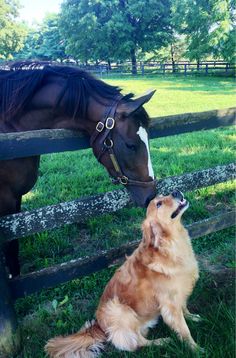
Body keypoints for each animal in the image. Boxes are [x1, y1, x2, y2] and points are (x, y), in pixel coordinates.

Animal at [45, 189, 201, 356]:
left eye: (163, 195)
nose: (176, 191)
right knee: (137, 342)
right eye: (159, 204)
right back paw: (163, 341)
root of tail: (99, 326)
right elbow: (184, 329)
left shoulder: (180, 291)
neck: (170, 243)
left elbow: (184, 307)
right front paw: (195, 349)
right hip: (118, 309)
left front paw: (193, 317)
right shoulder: (170, 302)